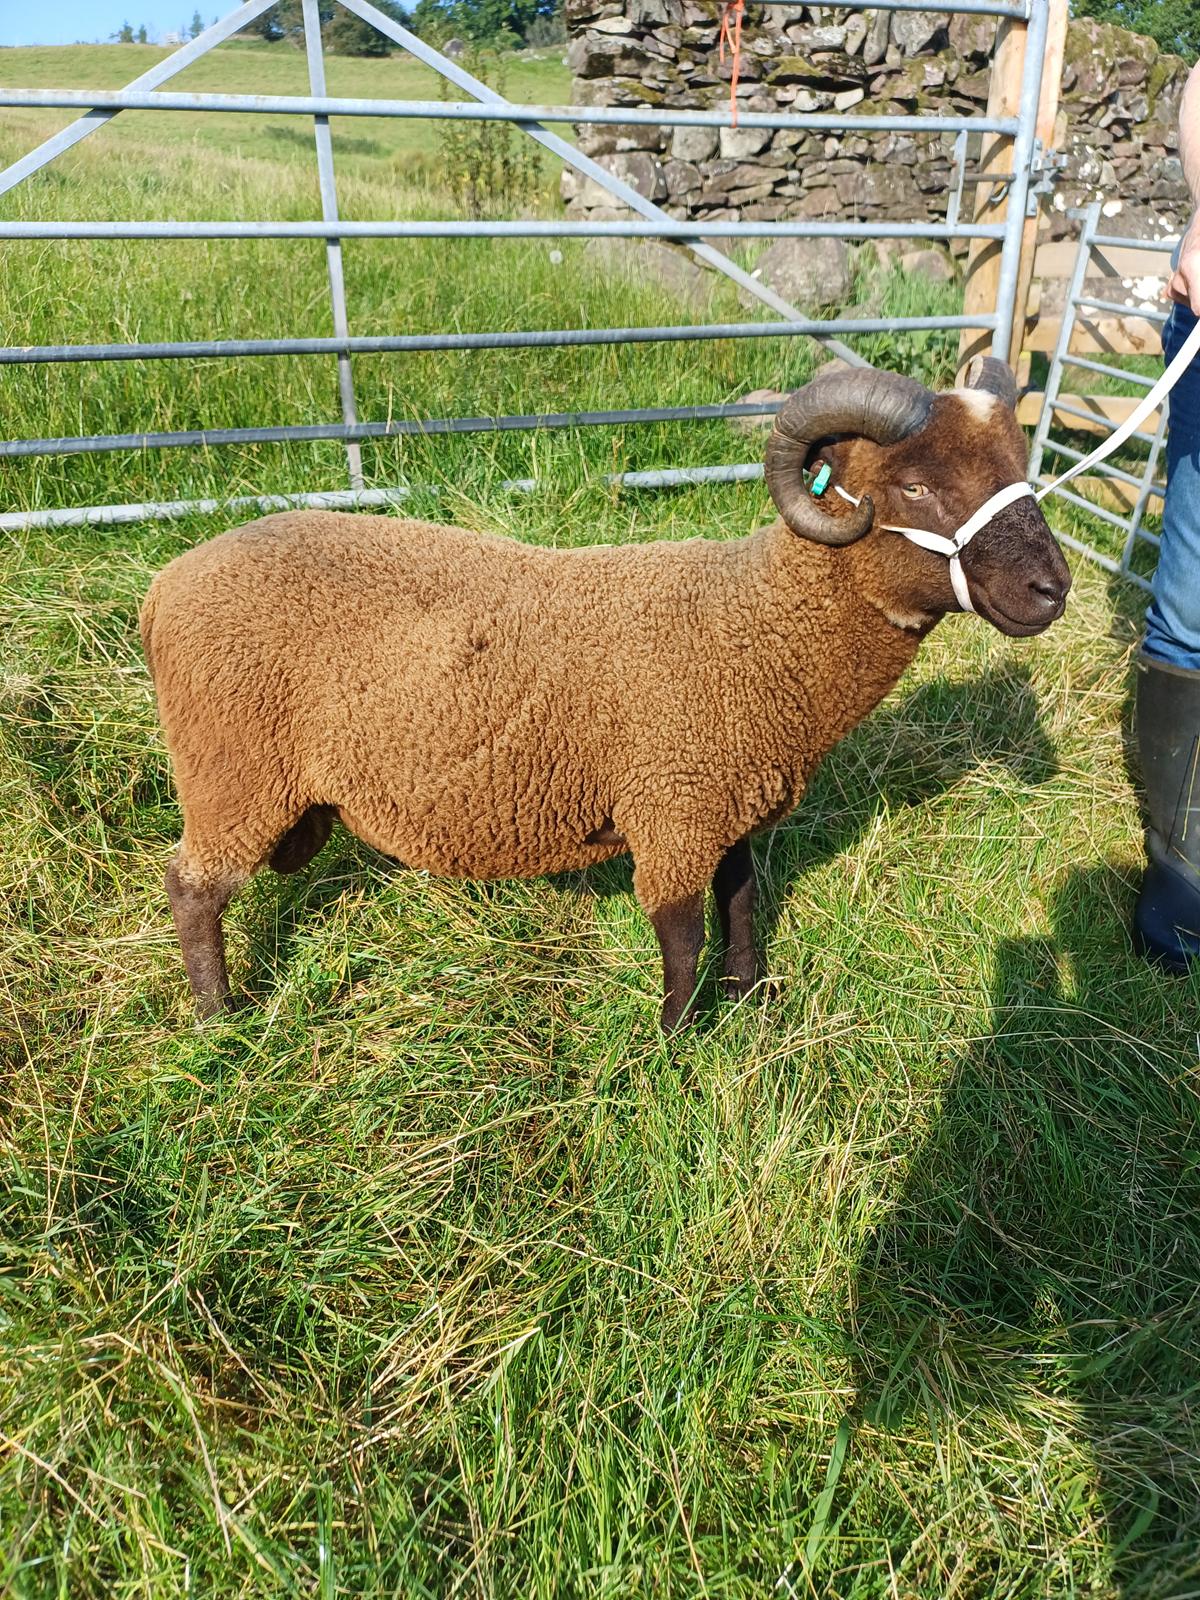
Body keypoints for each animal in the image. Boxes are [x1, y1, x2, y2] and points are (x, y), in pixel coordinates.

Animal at [140, 359, 1071, 1031]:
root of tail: (164, 586)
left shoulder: (724, 802)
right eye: (914, 487)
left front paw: (748, 1001)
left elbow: (740, 904)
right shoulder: (673, 808)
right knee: (193, 887)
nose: (1052, 590)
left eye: (1019, 466)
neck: (756, 624)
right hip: (233, 769)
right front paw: (675, 1046)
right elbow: (681, 934)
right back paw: (218, 1018)